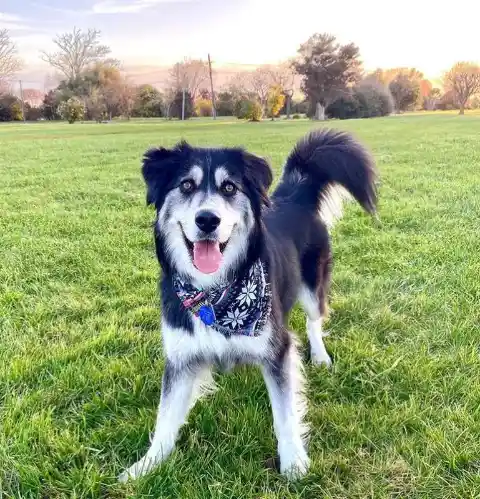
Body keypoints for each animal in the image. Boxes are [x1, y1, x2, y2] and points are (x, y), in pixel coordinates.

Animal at [118, 129, 376, 484]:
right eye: (186, 185)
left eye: (229, 187)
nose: (207, 219)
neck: (215, 295)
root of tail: (295, 194)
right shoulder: (181, 358)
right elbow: (166, 418)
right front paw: (146, 465)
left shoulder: (277, 350)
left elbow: (284, 413)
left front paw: (293, 462)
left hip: (312, 287)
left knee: (314, 321)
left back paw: (320, 355)